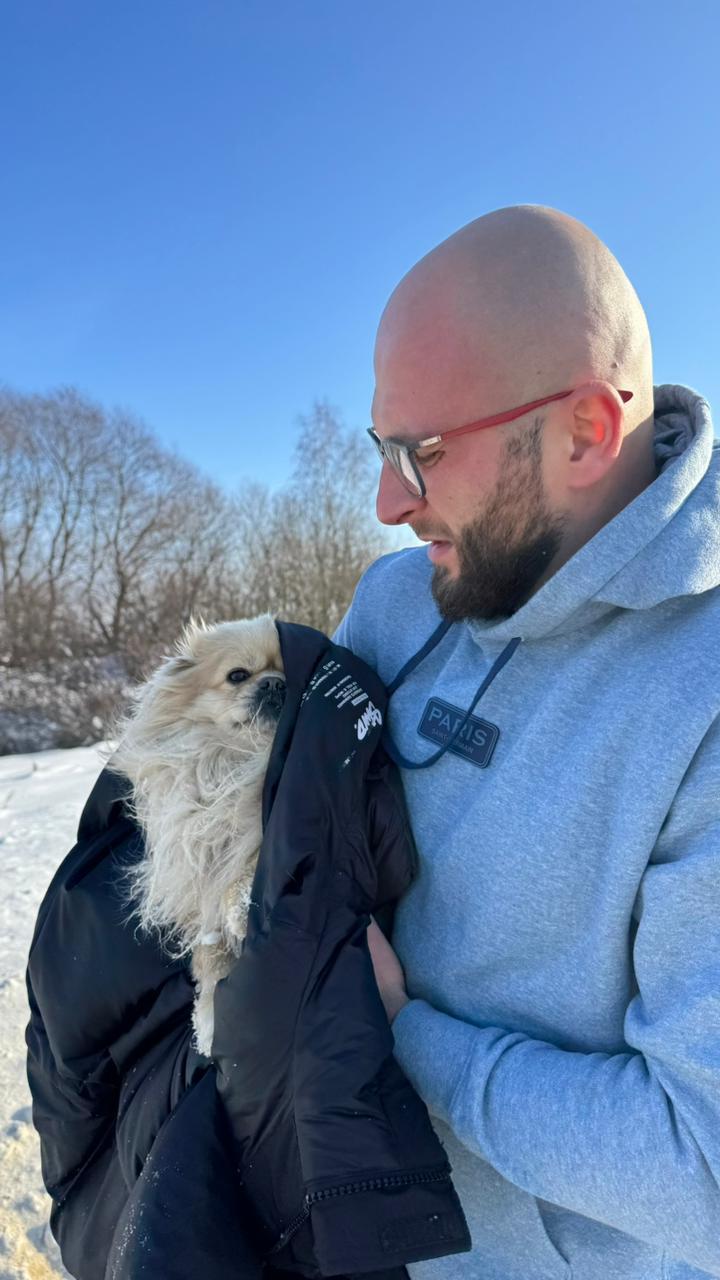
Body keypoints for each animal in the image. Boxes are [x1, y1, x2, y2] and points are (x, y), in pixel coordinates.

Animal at [111, 614, 285, 1055]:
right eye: (238, 675)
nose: (276, 683)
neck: (237, 763)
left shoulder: (249, 840)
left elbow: (248, 862)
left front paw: (240, 906)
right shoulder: (197, 886)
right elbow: (209, 954)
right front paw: (207, 1018)